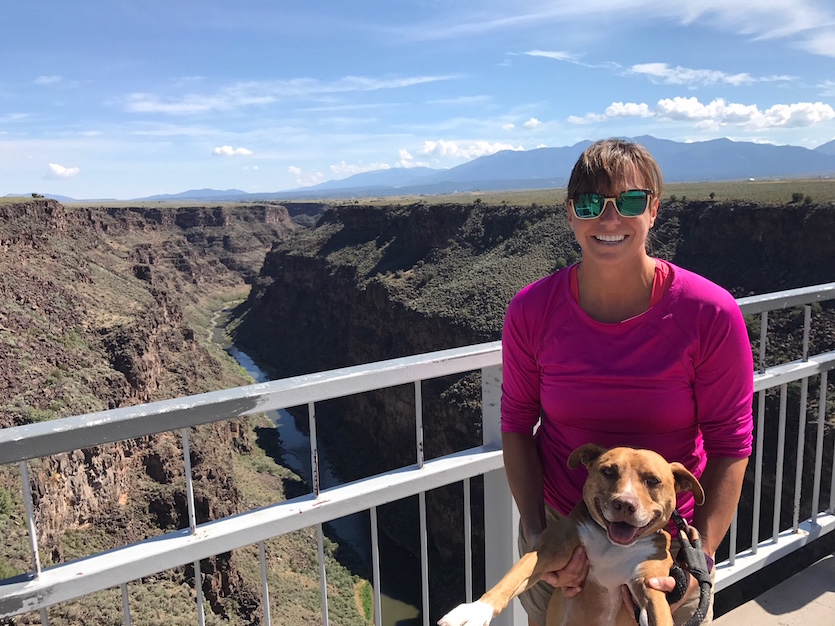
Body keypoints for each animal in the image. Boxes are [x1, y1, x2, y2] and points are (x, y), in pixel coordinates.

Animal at [438, 442, 704, 624]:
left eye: (653, 480)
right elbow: (512, 579)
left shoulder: (649, 584)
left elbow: (659, 614)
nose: (625, 504)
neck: (612, 545)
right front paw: (474, 611)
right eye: (609, 471)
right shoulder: (552, 550)